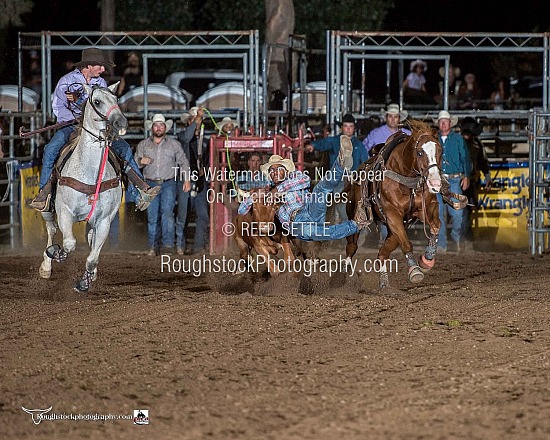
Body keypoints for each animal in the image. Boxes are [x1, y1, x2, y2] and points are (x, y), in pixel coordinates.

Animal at [40, 84, 128, 294]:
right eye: (97, 101)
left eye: (116, 99)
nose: (121, 122)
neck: (89, 171)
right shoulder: (64, 211)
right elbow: (69, 243)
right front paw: (56, 253)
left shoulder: (104, 221)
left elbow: (93, 256)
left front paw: (84, 282)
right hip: (47, 208)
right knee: (51, 229)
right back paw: (46, 266)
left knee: (90, 237)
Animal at [350, 120, 444, 288]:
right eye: (420, 152)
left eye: (441, 151)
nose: (435, 183)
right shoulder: (393, 214)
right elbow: (406, 243)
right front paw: (415, 271)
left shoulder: (425, 208)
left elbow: (436, 226)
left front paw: (426, 260)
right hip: (356, 217)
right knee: (352, 246)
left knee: (383, 252)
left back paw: (384, 284)